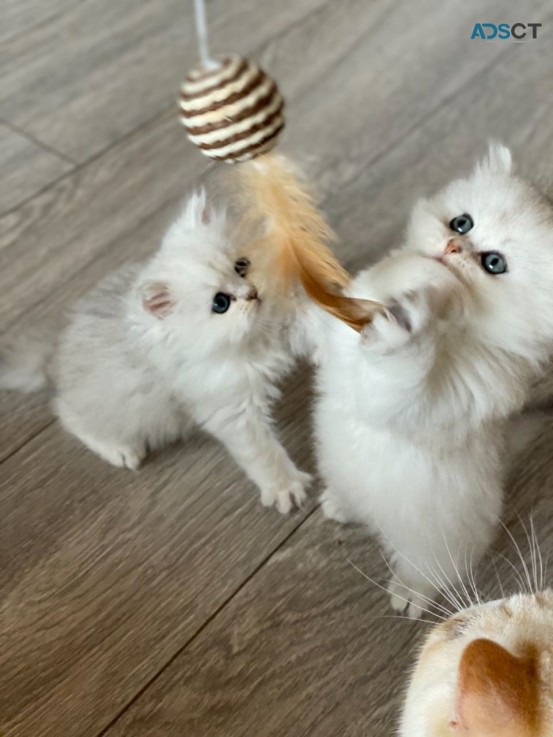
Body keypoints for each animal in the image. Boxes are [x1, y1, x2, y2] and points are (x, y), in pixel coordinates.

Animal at [0, 190, 310, 512]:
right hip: (120, 409)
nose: (252, 293)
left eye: (241, 266)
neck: (250, 340)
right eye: (220, 303)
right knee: (67, 414)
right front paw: (285, 488)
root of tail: (55, 352)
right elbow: (264, 454)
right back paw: (121, 450)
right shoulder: (232, 410)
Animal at [312, 145, 552, 616]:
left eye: (493, 263)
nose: (453, 245)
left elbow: (404, 371)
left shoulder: (427, 404)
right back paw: (340, 504)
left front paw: (412, 316)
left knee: (429, 572)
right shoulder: (344, 337)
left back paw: (409, 594)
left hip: (434, 545)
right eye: (462, 223)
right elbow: (382, 282)